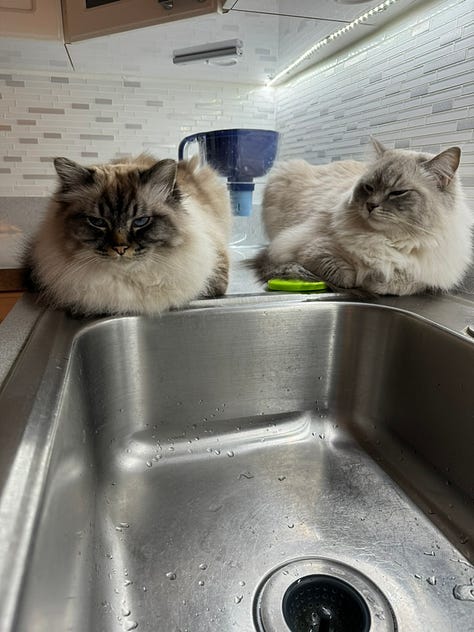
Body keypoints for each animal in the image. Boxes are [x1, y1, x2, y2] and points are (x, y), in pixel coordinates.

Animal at [250, 139, 472, 296]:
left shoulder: (425, 276)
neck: (390, 241)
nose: (370, 205)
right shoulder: (310, 248)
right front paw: (359, 279)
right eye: (369, 187)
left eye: (398, 193)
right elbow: (344, 274)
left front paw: (373, 280)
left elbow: (398, 283)